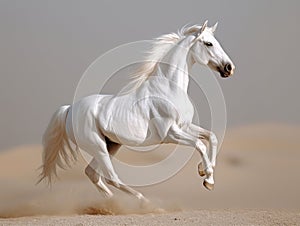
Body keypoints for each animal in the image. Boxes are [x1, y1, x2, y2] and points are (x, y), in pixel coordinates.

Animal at [38, 20, 234, 201]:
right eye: (208, 43)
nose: (229, 68)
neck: (168, 89)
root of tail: (70, 109)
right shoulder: (170, 134)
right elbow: (199, 144)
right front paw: (208, 179)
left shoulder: (184, 126)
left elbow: (211, 137)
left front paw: (204, 171)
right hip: (98, 146)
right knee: (112, 178)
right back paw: (143, 202)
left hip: (111, 145)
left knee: (93, 174)